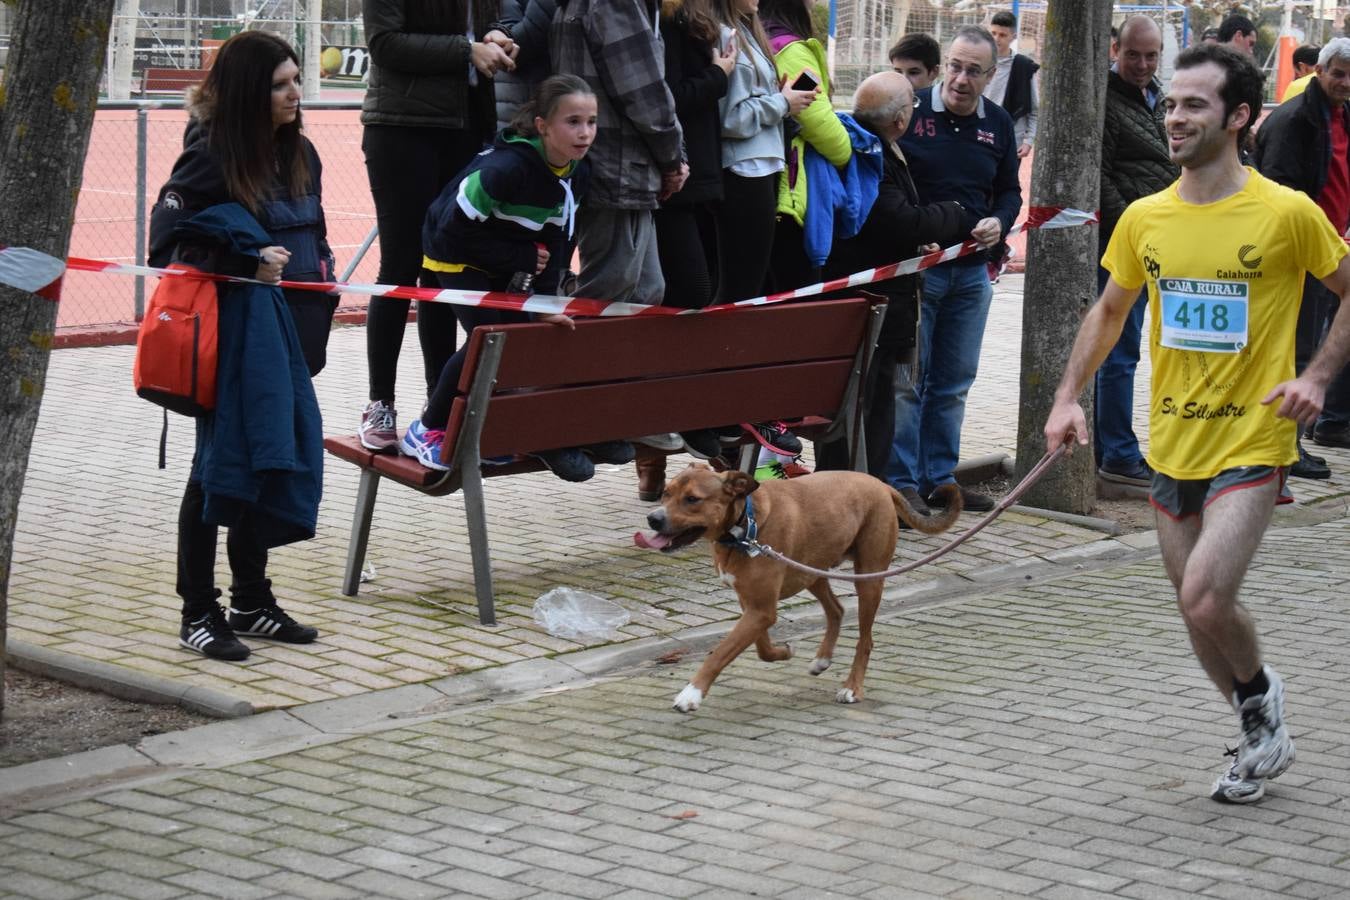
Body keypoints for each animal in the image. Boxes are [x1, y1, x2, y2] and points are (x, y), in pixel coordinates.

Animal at [634, 464, 961, 712]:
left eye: (692, 499)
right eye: (666, 493)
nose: (653, 518)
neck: (746, 526)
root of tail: (881, 485)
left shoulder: (761, 610)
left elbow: (720, 653)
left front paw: (691, 693)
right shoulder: (754, 606)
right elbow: (762, 648)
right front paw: (783, 652)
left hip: (868, 579)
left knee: (865, 641)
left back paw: (852, 688)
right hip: (812, 573)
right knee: (836, 610)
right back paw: (822, 659)